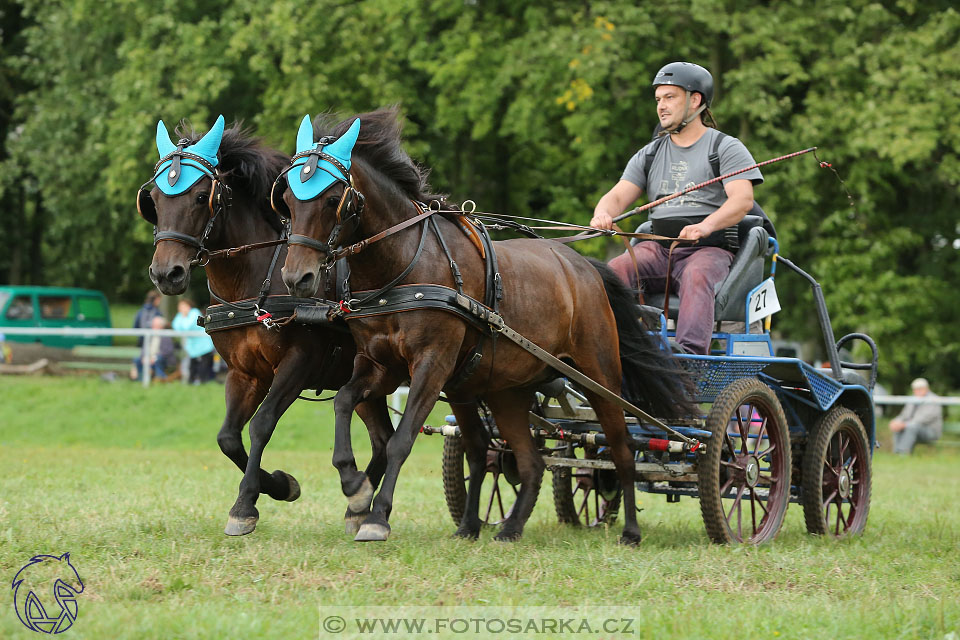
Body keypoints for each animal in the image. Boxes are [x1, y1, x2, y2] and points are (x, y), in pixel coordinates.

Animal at [140, 119, 394, 536]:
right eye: (155, 201)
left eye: (200, 197)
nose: (166, 273)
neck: (254, 280)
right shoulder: (244, 372)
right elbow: (228, 437)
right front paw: (278, 485)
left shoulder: (298, 363)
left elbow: (261, 425)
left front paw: (246, 503)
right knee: (383, 439)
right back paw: (360, 502)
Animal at [282, 109, 692, 544]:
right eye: (287, 200)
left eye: (332, 199)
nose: (296, 278)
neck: (405, 264)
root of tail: (583, 266)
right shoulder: (379, 365)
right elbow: (344, 401)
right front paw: (354, 486)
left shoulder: (431, 365)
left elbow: (400, 440)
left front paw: (376, 517)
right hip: (504, 391)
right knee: (527, 461)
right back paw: (506, 526)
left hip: (599, 377)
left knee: (620, 448)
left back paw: (629, 529)